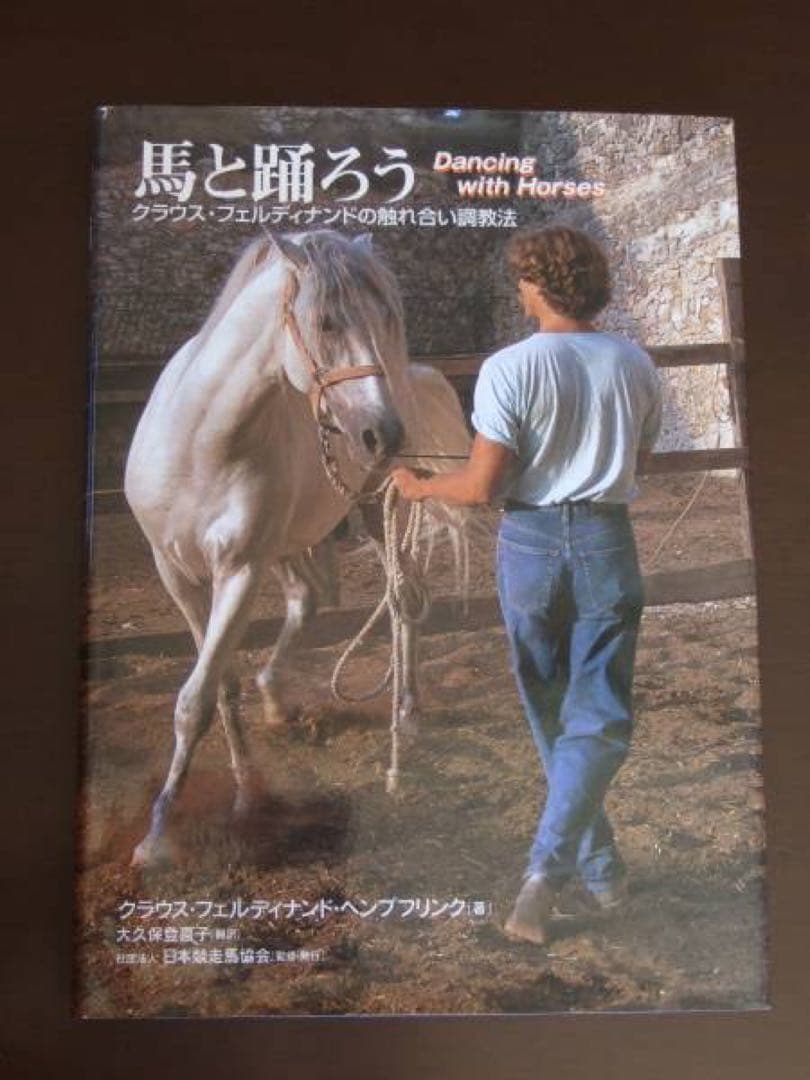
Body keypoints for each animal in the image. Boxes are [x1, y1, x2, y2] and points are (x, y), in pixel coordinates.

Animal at [124, 229, 471, 867]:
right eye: (327, 321)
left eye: (386, 318)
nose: (382, 434)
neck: (201, 446)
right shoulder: (177, 575)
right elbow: (218, 685)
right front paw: (242, 790)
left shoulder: (240, 572)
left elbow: (194, 701)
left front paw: (158, 839)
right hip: (293, 544)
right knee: (308, 601)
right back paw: (277, 700)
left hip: (375, 510)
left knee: (404, 596)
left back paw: (407, 713)